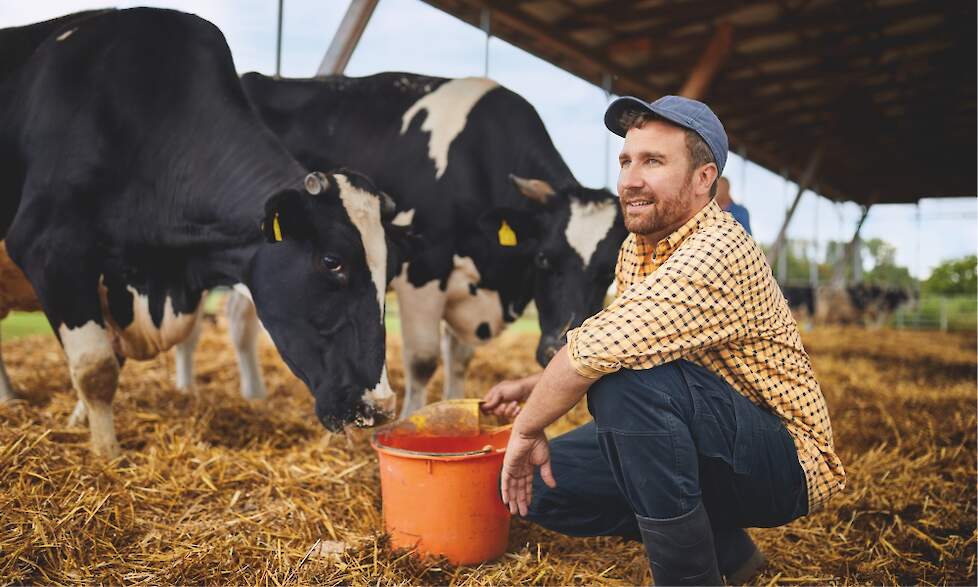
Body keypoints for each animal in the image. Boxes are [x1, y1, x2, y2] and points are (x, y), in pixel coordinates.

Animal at [0, 10, 400, 460]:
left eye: (391, 270)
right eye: (332, 262)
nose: (381, 407)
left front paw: (77, 423)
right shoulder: (49, 251)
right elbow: (96, 369)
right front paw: (107, 455)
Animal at [174, 72, 624, 418]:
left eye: (607, 273)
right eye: (545, 259)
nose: (556, 349)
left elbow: (459, 358)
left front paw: (458, 406)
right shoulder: (424, 268)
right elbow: (424, 360)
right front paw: (414, 417)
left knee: (239, 318)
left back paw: (254, 396)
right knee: (193, 323)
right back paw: (185, 389)